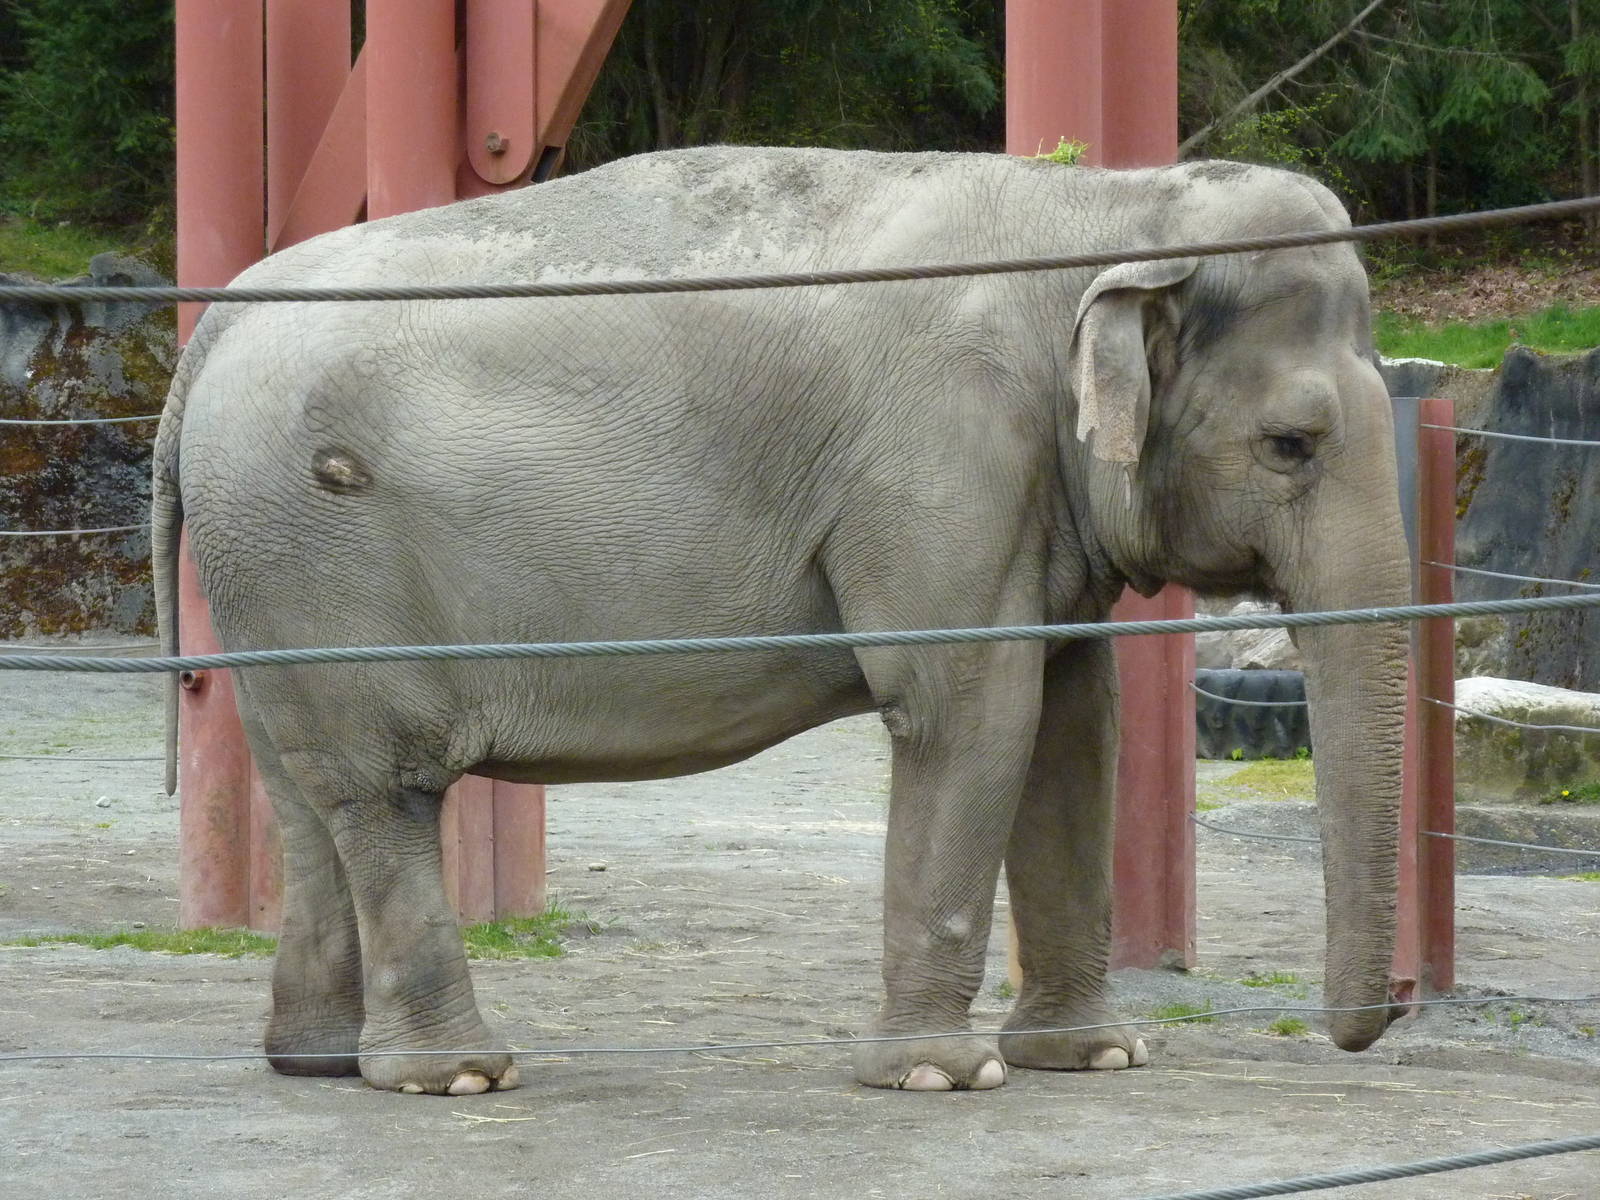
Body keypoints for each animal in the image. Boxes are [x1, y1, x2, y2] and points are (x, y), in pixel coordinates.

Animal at [152, 146, 1411, 1097]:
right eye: (1291, 445)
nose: (1376, 1020)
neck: (1113, 211)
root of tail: (210, 334)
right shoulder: (943, 455)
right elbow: (971, 709)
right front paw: (942, 1076)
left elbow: (1071, 722)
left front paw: (1094, 1057)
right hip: (319, 552)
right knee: (385, 789)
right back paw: (457, 1075)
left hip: (266, 573)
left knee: (301, 788)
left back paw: (318, 1062)